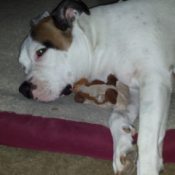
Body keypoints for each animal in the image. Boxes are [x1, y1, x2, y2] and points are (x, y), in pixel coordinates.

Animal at [18, 0, 175, 174]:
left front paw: (148, 167)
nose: (23, 89)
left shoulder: (154, 80)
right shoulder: (137, 91)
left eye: (40, 52)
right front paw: (123, 146)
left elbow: (147, 137)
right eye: (23, 66)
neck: (100, 41)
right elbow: (117, 118)